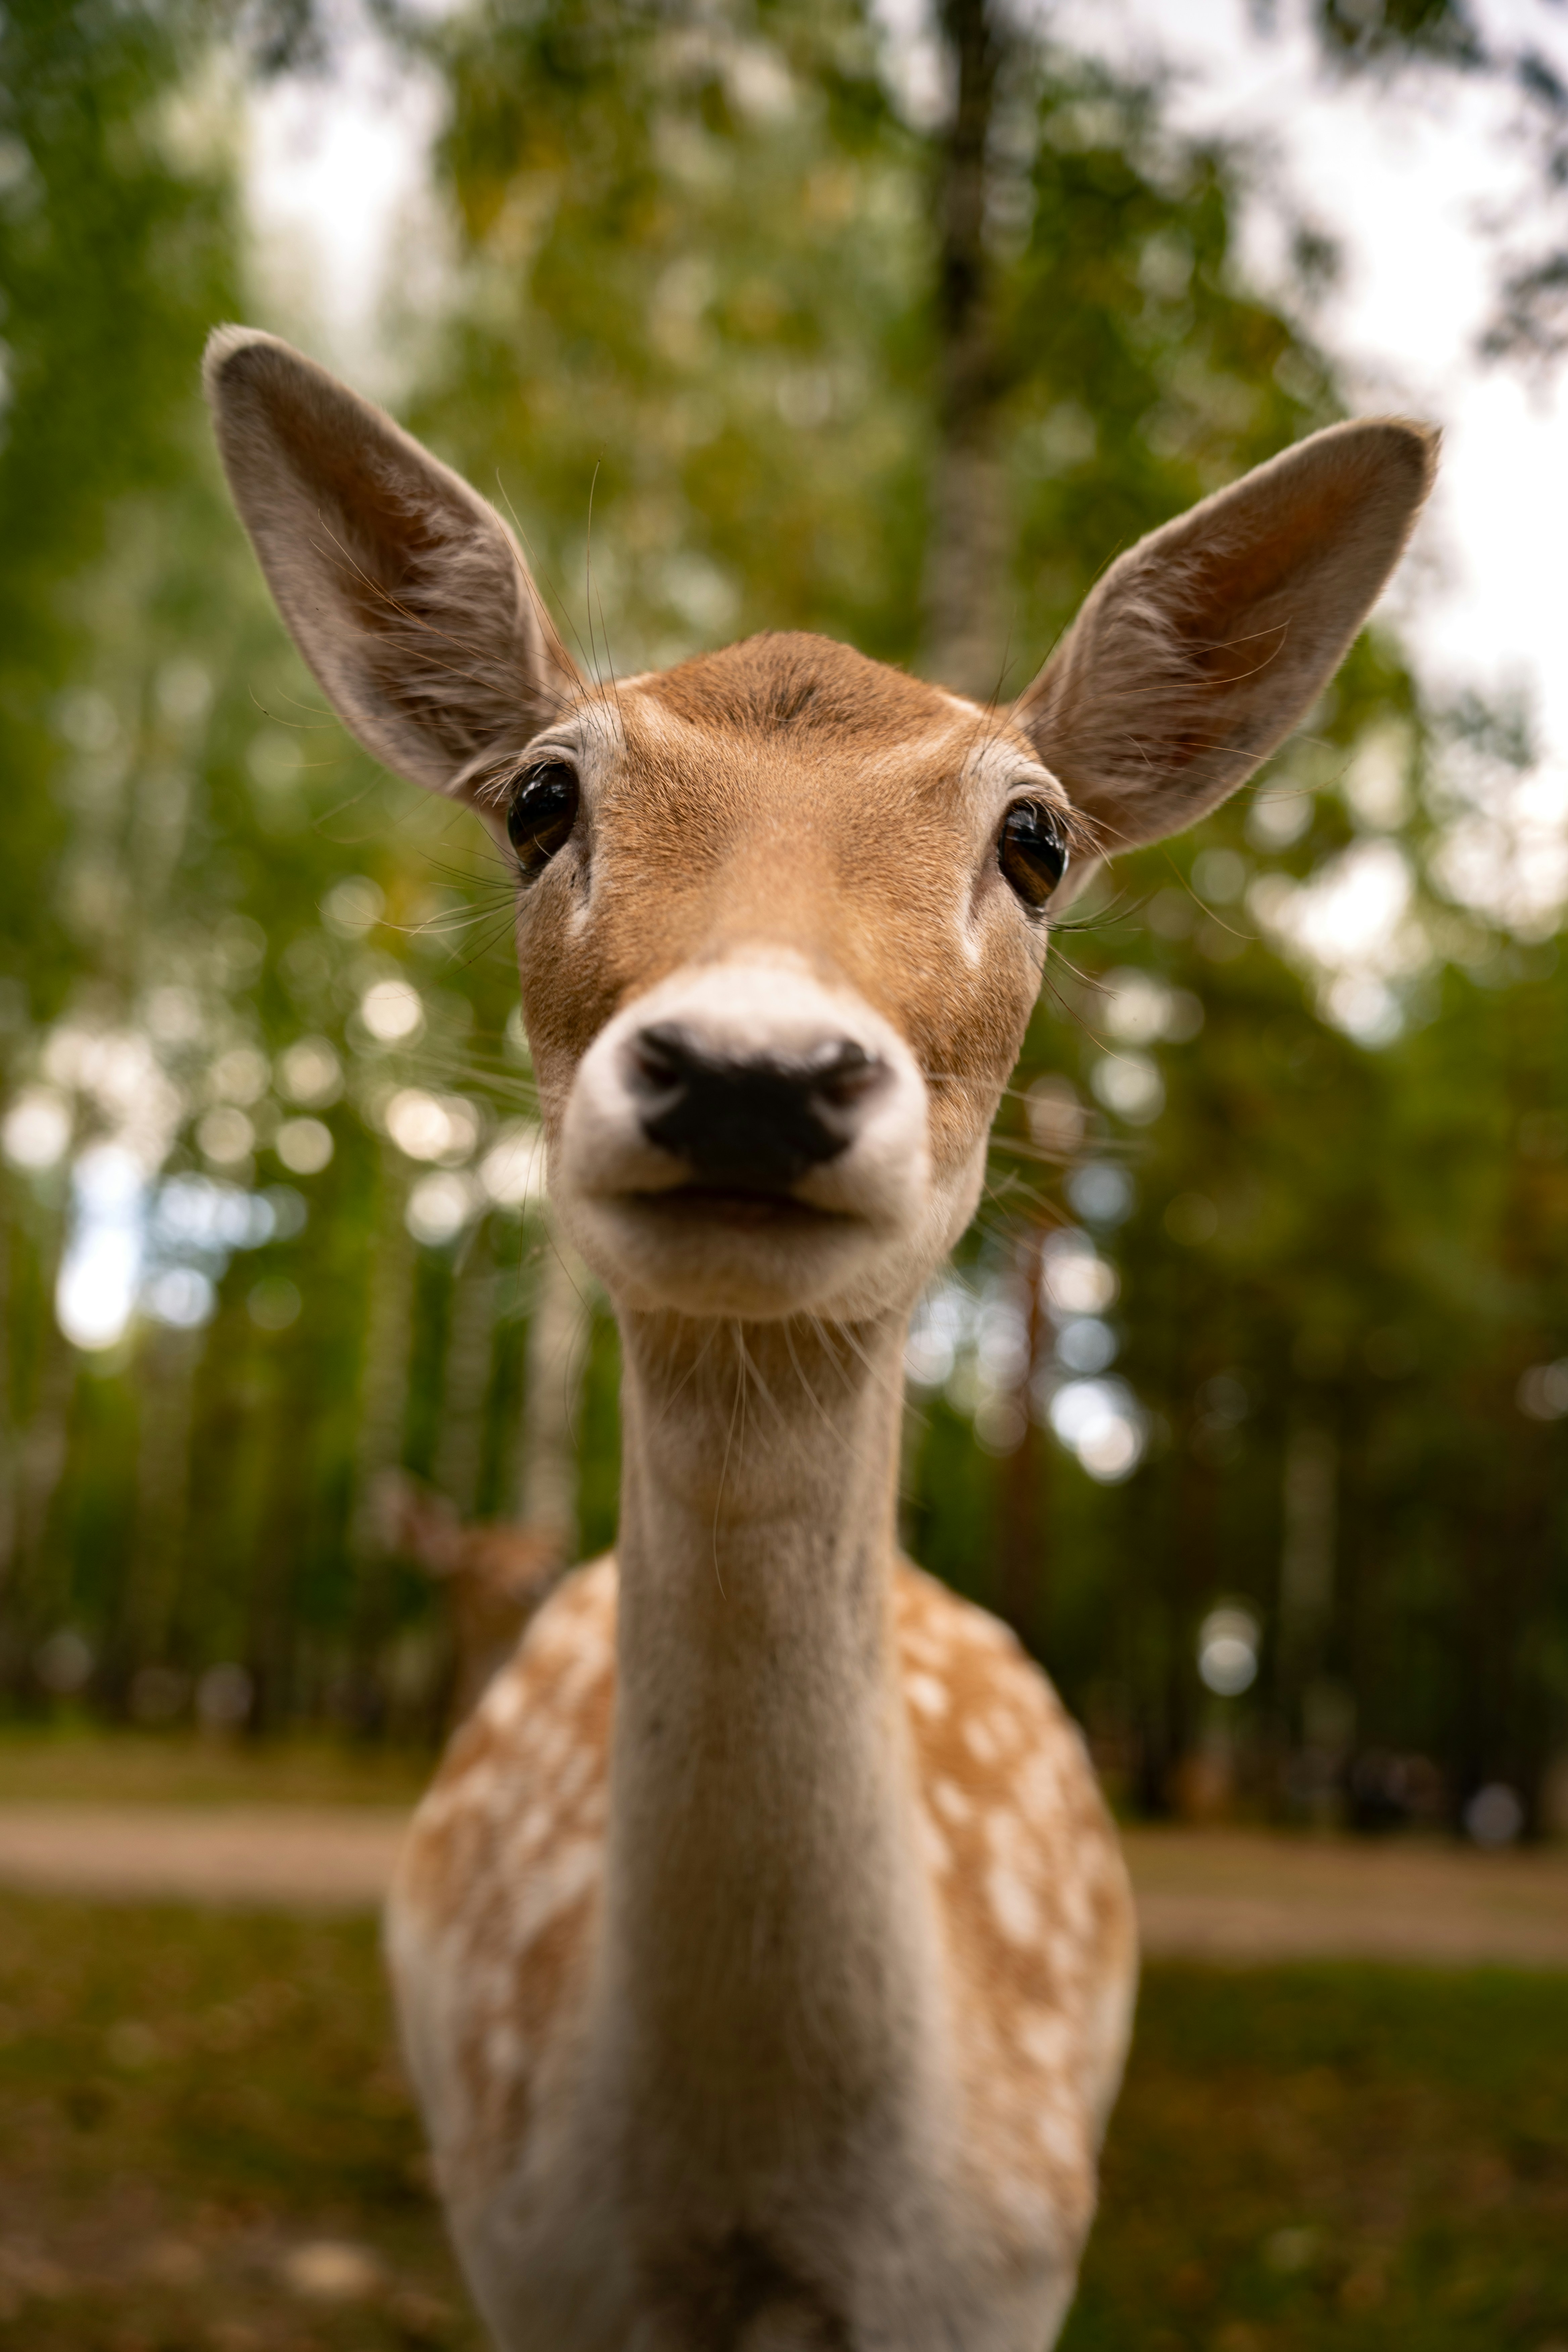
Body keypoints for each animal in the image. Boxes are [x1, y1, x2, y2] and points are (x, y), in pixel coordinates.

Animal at [205, 325, 1434, 2352]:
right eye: (541, 798)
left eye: (1033, 835)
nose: (750, 1072)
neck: (752, 2216)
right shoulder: (524, 2249)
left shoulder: (1009, 2269)